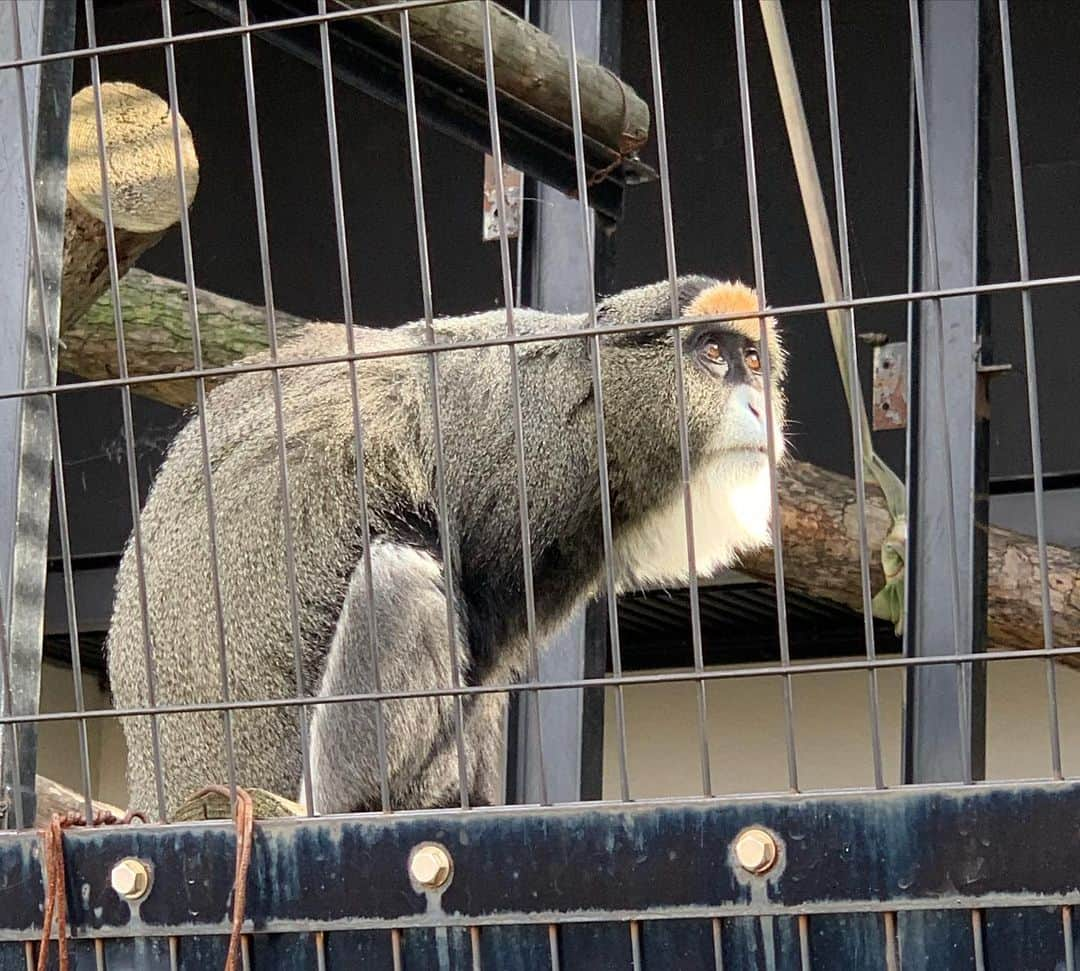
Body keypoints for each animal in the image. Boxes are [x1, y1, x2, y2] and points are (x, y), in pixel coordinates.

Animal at [107, 276, 786, 816]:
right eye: (712, 353)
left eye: (752, 359)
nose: (758, 405)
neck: (595, 395)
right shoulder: (527, 464)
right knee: (399, 573)